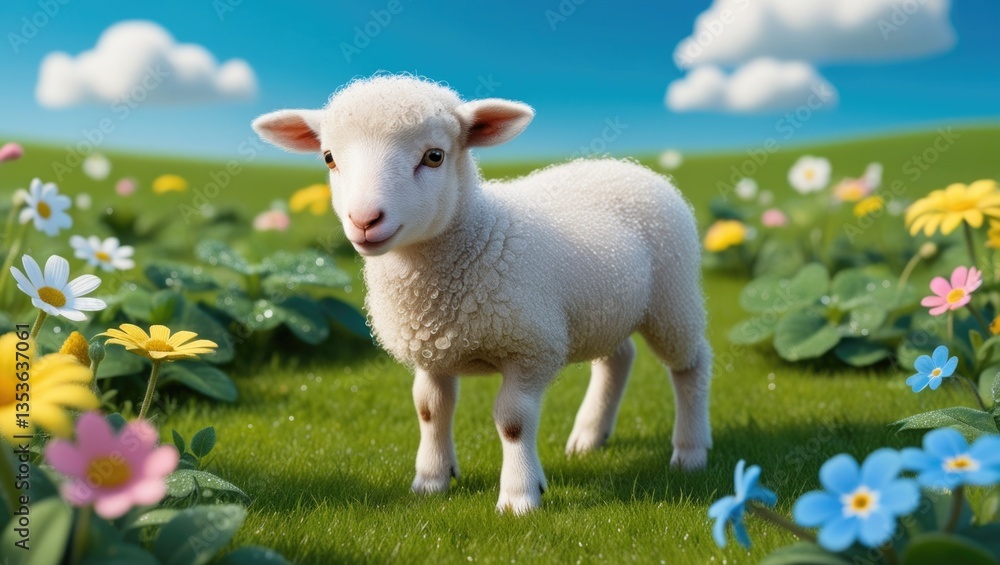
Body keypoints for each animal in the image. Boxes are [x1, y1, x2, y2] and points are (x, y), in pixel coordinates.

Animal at [252, 75, 712, 515]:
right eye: (329, 158)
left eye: (434, 156)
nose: (364, 220)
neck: (479, 234)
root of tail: (631, 167)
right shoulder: (432, 350)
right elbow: (429, 409)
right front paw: (431, 480)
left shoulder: (531, 349)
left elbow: (512, 422)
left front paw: (520, 496)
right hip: (604, 309)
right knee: (618, 359)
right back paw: (589, 435)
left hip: (672, 298)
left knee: (691, 364)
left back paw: (691, 451)